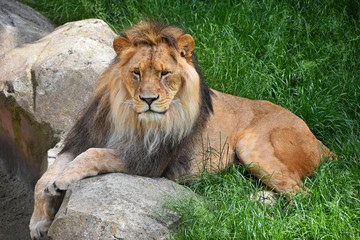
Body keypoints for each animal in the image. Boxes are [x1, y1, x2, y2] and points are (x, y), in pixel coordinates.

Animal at [29, 20, 334, 238]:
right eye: (136, 73)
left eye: (165, 74)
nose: (148, 100)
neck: (125, 114)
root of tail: (319, 140)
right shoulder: (81, 140)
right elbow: (42, 180)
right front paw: (38, 223)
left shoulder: (148, 161)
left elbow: (93, 155)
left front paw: (63, 180)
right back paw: (258, 198)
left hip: (250, 144)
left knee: (306, 196)